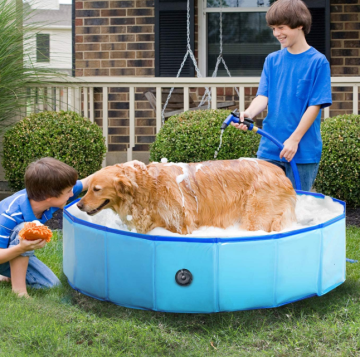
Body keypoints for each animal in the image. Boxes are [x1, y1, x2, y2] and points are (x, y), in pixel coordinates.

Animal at [76, 159, 296, 234]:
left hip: (256, 217)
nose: (78, 205)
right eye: (88, 188)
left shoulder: (181, 225)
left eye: (96, 189)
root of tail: (281, 173)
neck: (147, 188)